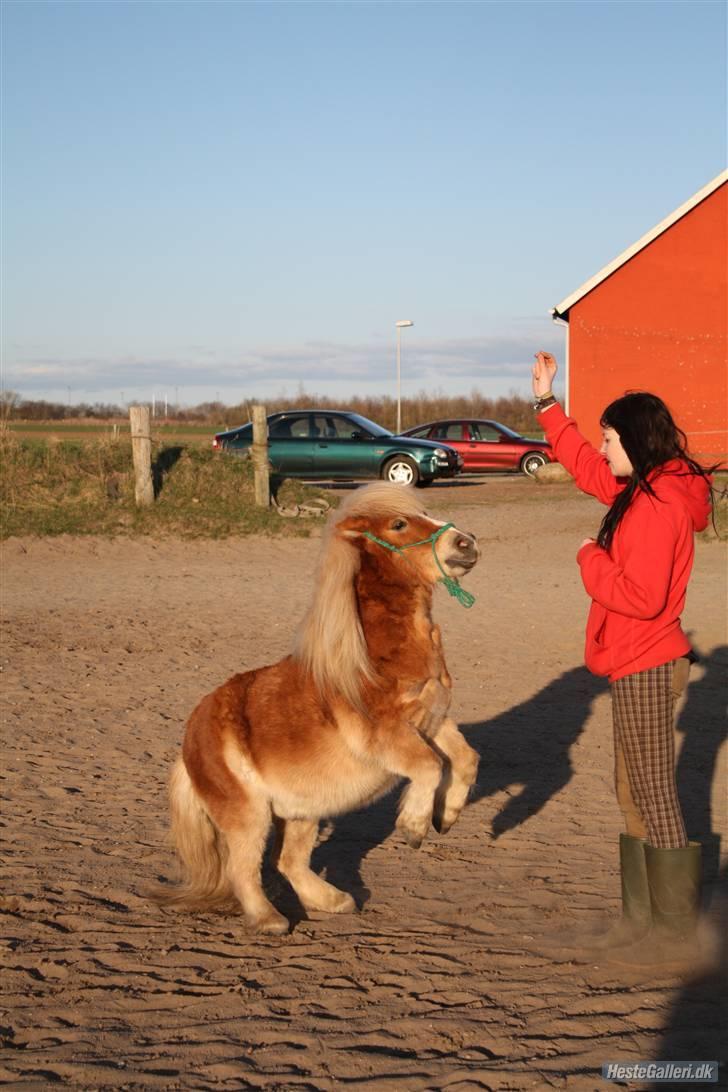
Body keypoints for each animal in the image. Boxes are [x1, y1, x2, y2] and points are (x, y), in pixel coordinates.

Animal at [154, 482, 478, 934]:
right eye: (399, 524)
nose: (466, 543)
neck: (377, 656)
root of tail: (189, 744)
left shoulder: (431, 720)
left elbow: (465, 758)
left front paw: (445, 817)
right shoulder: (388, 736)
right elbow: (430, 766)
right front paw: (413, 827)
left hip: (301, 810)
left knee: (288, 861)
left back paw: (334, 901)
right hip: (248, 815)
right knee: (243, 867)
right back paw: (270, 920)